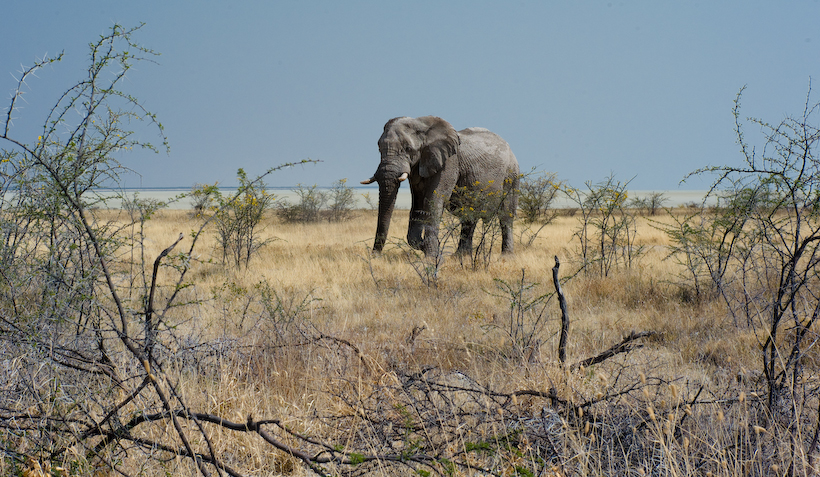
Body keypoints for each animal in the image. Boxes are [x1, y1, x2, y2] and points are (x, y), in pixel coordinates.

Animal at [360, 115, 520, 256]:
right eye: (379, 148)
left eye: (408, 148)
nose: (374, 256)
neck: (422, 126)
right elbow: (418, 204)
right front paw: (429, 248)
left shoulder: (449, 162)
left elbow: (434, 200)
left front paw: (431, 256)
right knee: (469, 216)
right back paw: (460, 256)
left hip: (511, 175)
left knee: (506, 214)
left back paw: (506, 256)